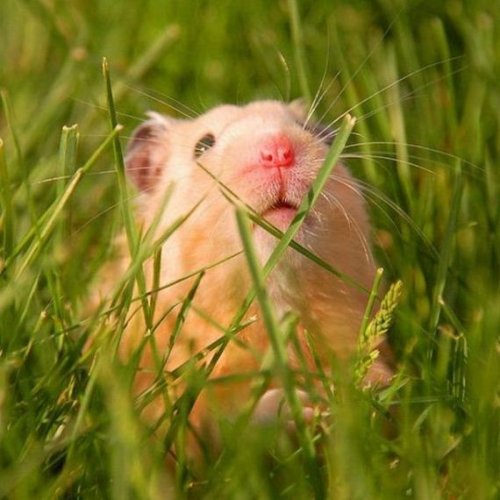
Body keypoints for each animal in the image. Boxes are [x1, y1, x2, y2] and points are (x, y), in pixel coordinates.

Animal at [113, 99, 393, 445]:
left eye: (313, 131)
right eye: (202, 145)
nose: (279, 151)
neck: (272, 302)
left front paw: (352, 393)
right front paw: (301, 408)